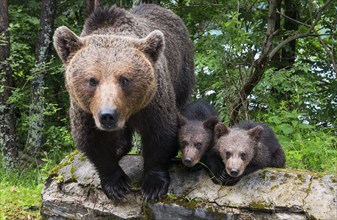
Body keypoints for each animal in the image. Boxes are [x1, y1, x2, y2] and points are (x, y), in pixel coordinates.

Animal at [53, 4, 194, 201]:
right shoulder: (86, 110)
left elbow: (161, 132)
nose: (108, 115)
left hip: (182, 71)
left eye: (124, 79)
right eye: (92, 80)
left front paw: (153, 186)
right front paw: (116, 185)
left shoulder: (153, 101)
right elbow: (94, 141)